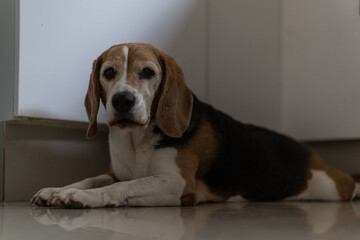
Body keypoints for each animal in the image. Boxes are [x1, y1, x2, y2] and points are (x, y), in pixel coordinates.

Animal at [31, 43, 360, 208]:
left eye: (148, 72)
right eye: (109, 72)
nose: (123, 100)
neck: (138, 138)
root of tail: (308, 151)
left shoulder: (177, 183)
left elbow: (123, 186)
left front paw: (81, 198)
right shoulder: (114, 172)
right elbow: (92, 178)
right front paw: (58, 190)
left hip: (327, 186)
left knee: (349, 183)